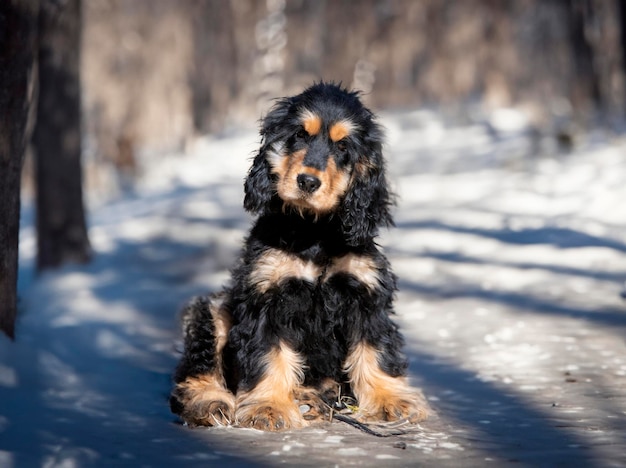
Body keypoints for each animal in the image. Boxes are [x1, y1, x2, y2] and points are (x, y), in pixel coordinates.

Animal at [168, 81, 426, 432]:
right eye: (300, 135)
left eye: (343, 146)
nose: (307, 181)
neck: (314, 231)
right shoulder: (269, 295)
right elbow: (269, 352)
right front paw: (269, 406)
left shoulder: (365, 292)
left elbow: (375, 347)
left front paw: (391, 400)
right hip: (213, 309)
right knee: (197, 371)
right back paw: (209, 402)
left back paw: (313, 398)